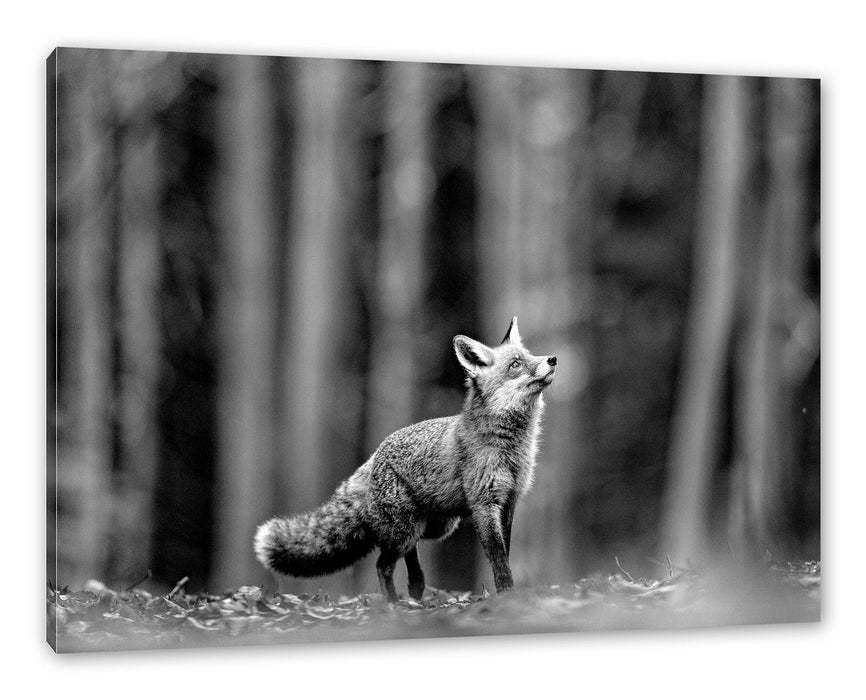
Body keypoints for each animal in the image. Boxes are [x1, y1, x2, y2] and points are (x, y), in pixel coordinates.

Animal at [254, 317, 557, 602]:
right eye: (516, 364)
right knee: (382, 563)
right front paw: (507, 594)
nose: (552, 359)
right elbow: (498, 557)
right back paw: (393, 604)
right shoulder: (485, 503)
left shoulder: (509, 501)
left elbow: (505, 551)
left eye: (530, 355)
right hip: (406, 529)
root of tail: (375, 454)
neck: (510, 449)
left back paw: (416, 588)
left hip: (434, 526)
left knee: (409, 552)